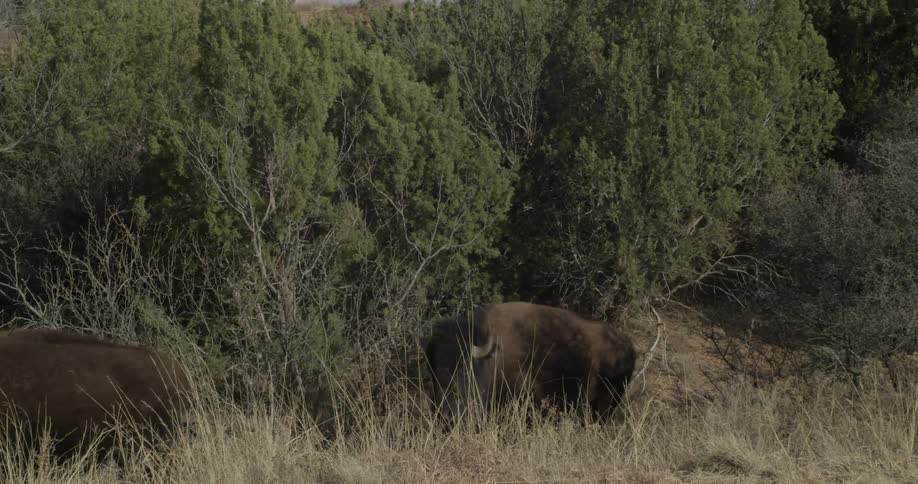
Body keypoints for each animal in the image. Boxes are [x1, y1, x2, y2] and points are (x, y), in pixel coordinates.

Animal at [425, 302, 636, 421]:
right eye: (432, 371)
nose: (445, 409)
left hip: (607, 399)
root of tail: (627, 344)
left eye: (463, 368)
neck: (492, 357)